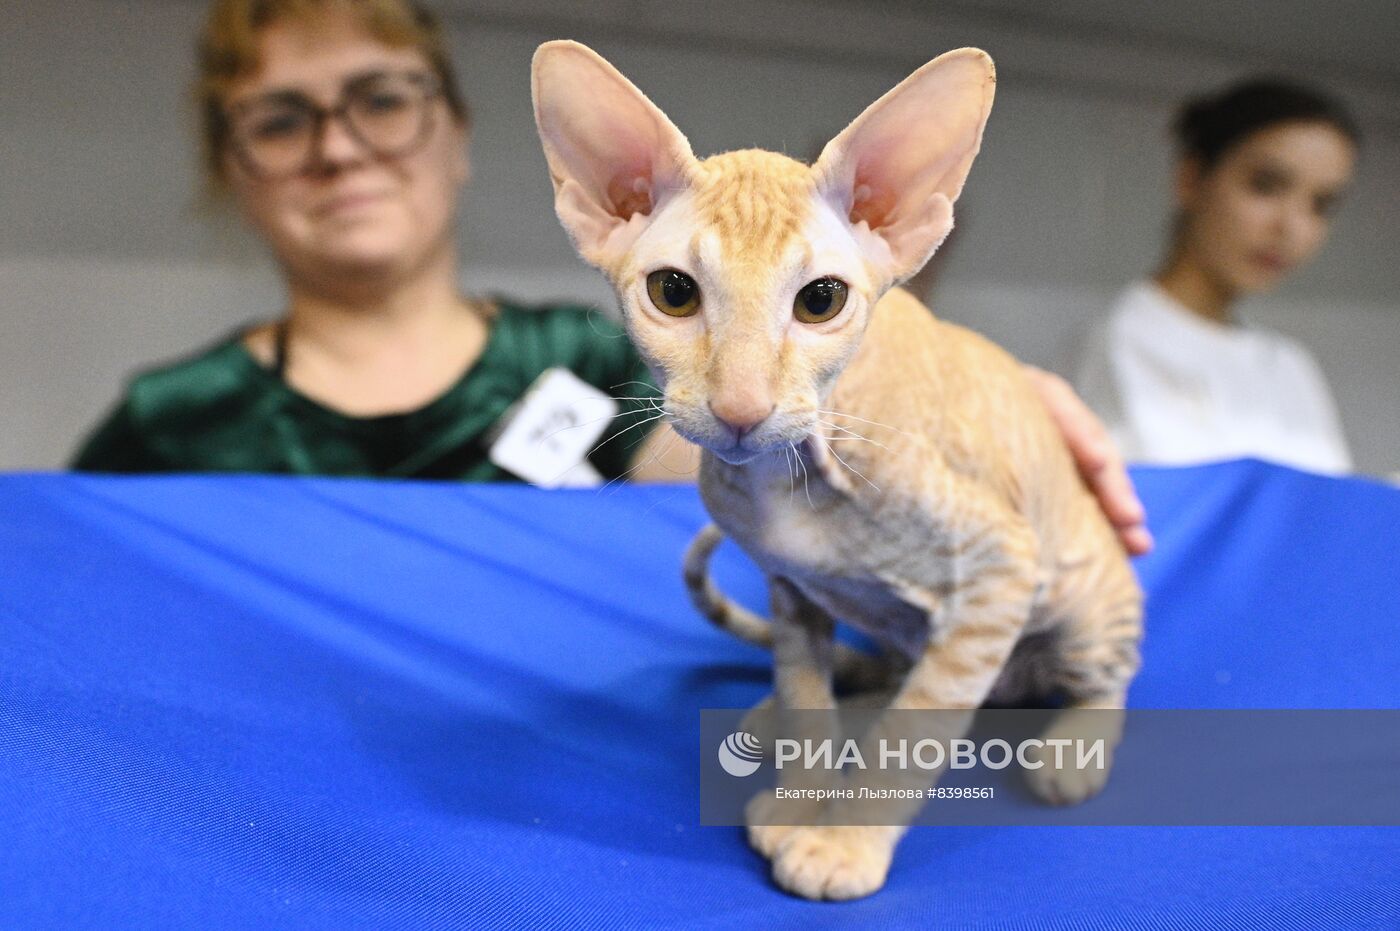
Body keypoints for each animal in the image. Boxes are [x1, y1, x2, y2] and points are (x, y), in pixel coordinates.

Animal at [529, 39, 1142, 896]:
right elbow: (805, 694)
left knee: (1100, 674)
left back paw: (1071, 745)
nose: (742, 407)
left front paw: (845, 841)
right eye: (673, 292)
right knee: (882, 675)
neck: (786, 480)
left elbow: (912, 733)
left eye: (820, 300)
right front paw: (802, 794)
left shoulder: (1002, 566)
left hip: (1082, 601)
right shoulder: (791, 587)